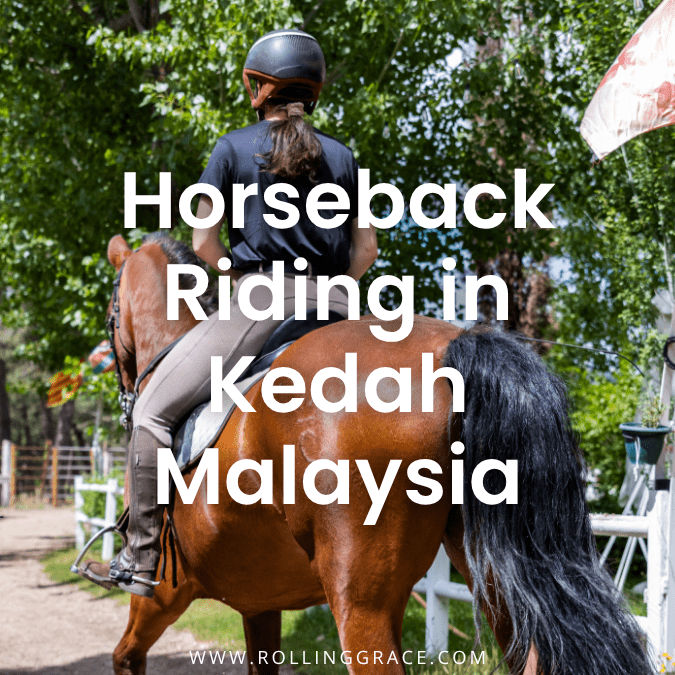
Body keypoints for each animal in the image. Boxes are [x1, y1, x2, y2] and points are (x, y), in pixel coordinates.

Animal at [101, 232, 651, 675]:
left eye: (110, 313)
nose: (125, 396)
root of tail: (451, 347)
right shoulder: (260, 601)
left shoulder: (164, 591)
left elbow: (126, 656)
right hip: (495, 571)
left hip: (361, 600)